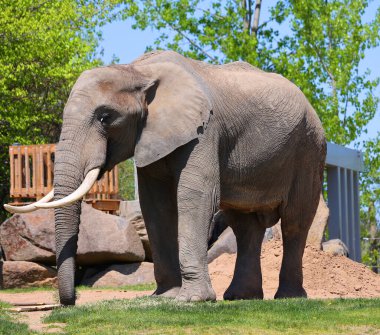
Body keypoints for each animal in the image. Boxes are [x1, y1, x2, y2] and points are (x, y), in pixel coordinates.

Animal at [4, 50, 326, 308]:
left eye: (105, 117)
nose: (70, 303)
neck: (138, 70)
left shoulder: (204, 130)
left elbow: (195, 197)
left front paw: (193, 301)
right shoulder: (151, 135)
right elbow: (155, 206)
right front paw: (166, 297)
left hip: (309, 148)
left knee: (295, 220)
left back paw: (289, 298)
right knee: (245, 225)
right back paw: (241, 298)